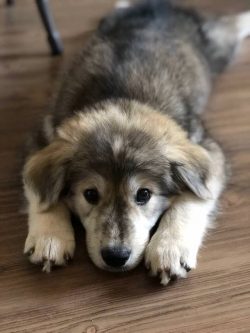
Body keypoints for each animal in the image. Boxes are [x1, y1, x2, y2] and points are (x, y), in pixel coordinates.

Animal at [23, 1, 250, 284]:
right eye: (90, 194)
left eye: (144, 194)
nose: (115, 257)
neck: (123, 99)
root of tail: (158, 5)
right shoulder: (41, 140)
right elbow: (43, 196)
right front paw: (49, 237)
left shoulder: (209, 150)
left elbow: (192, 199)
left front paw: (169, 248)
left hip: (218, 47)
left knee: (231, 27)